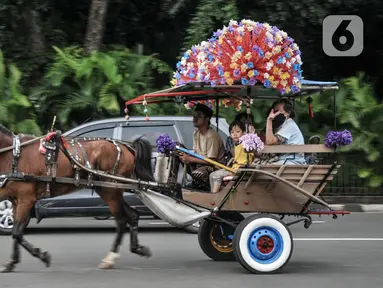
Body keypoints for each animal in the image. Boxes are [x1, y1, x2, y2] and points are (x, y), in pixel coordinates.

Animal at [0, 124, 156, 272]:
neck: (14, 155)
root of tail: (126, 147)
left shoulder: (26, 199)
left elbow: (17, 232)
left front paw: (42, 256)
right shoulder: (16, 201)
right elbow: (17, 232)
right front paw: (11, 263)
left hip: (111, 191)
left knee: (122, 220)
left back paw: (110, 258)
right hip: (109, 191)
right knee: (132, 215)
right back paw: (136, 248)